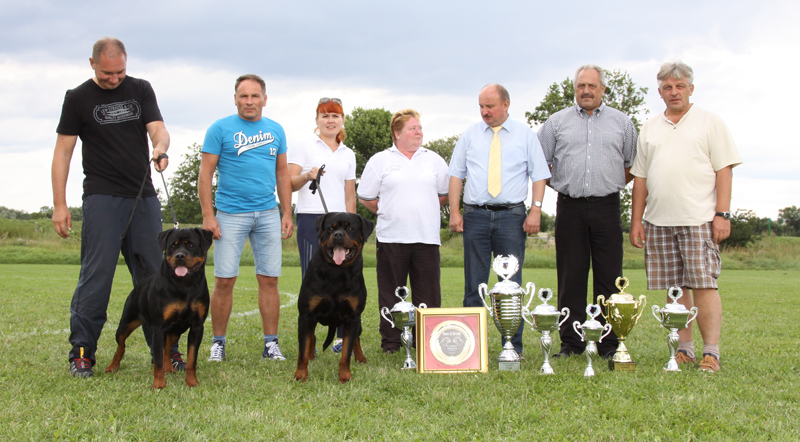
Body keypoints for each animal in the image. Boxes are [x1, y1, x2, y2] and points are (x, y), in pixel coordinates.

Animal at [104, 226, 214, 388]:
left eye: (191, 245)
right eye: (173, 246)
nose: (180, 255)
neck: (184, 285)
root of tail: (141, 282)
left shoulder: (197, 327)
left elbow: (191, 359)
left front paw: (192, 382)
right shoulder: (158, 327)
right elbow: (158, 360)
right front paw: (159, 384)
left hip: (175, 330)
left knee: (167, 348)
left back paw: (170, 368)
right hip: (125, 323)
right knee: (121, 345)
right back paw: (112, 366)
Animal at [296, 212, 376, 382]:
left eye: (350, 228)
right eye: (330, 228)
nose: (338, 235)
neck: (336, 271)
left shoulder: (353, 317)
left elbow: (346, 352)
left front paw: (345, 377)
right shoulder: (306, 315)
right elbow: (302, 350)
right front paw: (300, 375)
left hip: (358, 323)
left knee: (356, 340)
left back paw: (360, 358)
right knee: (311, 336)